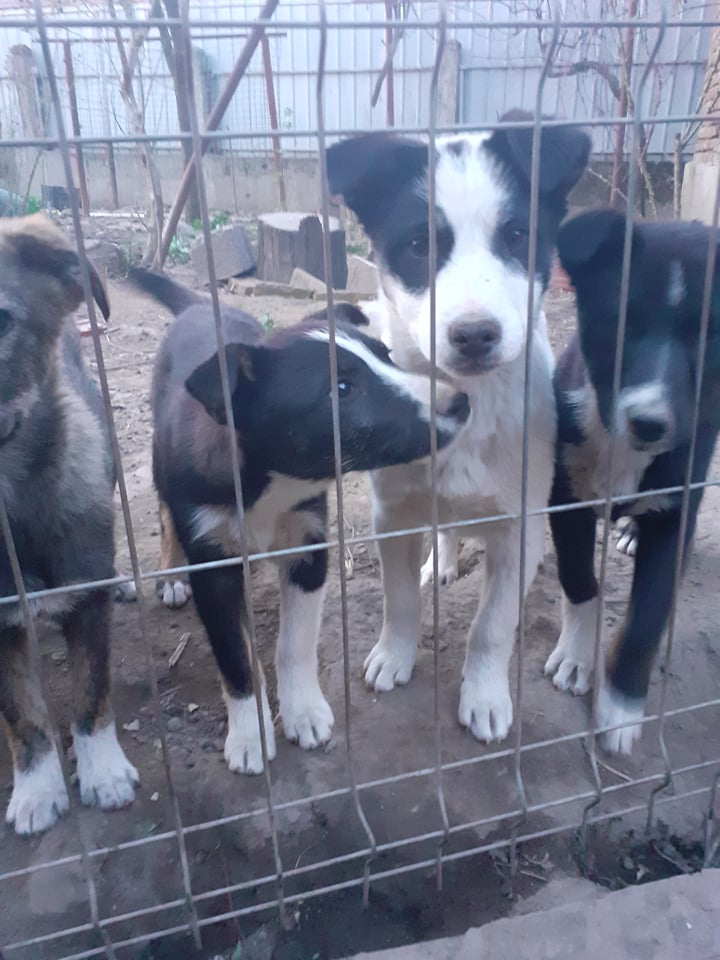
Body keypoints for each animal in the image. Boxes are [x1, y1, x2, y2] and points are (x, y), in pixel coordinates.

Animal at [132, 268, 470, 772]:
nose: (460, 401)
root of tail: (199, 306)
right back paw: (172, 575)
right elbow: (236, 659)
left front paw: (304, 713)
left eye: (386, 356)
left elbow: (295, 644)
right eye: (342, 390)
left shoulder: (309, 547)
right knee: (165, 513)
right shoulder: (214, 570)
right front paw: (250, 736)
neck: (270, 486)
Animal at [330, 112, 592, 744]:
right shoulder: (393, 514)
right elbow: (399, 599)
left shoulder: (517, 522)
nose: (475, 335)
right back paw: (441, 564)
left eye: (517, 236)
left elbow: (492, 625)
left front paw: (484, 696)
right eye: (418, 245)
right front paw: (394, 655)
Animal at [548, 212, 716, 756]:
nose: (649, 422)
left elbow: (647, 615)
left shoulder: (674, 513)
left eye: (709, 336)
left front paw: (622, 706)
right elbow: (579, 579)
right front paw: (577, 658)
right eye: (622, 323)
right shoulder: (566, 498)